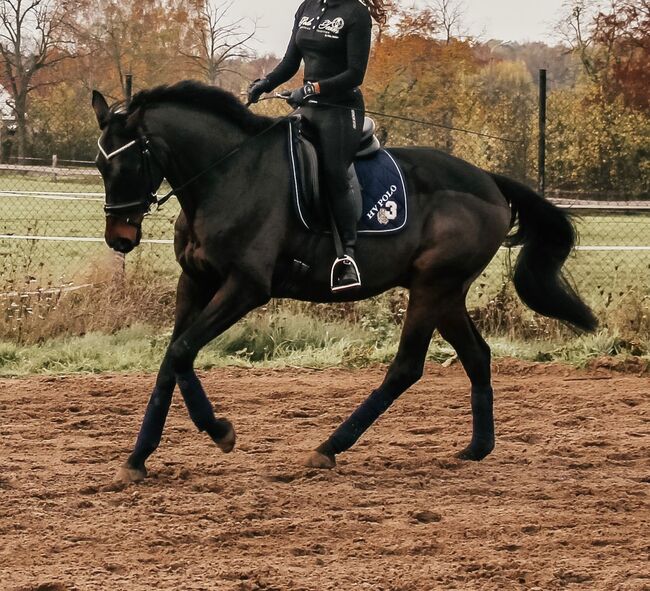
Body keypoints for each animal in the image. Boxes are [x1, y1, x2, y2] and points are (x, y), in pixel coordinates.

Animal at [91, 80, 596, 486]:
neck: (227, 176)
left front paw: (220, 432)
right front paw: (137, 460)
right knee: (476, 356)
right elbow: (172, 360)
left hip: (432, 289)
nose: (119, 239)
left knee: (406, 368)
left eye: (128, 163)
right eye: (98, 165)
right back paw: (476, 448)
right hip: (446, 293)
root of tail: (488, 181)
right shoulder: (194, 282)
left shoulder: (245, 288)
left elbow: (181, 351)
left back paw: (328, 448)